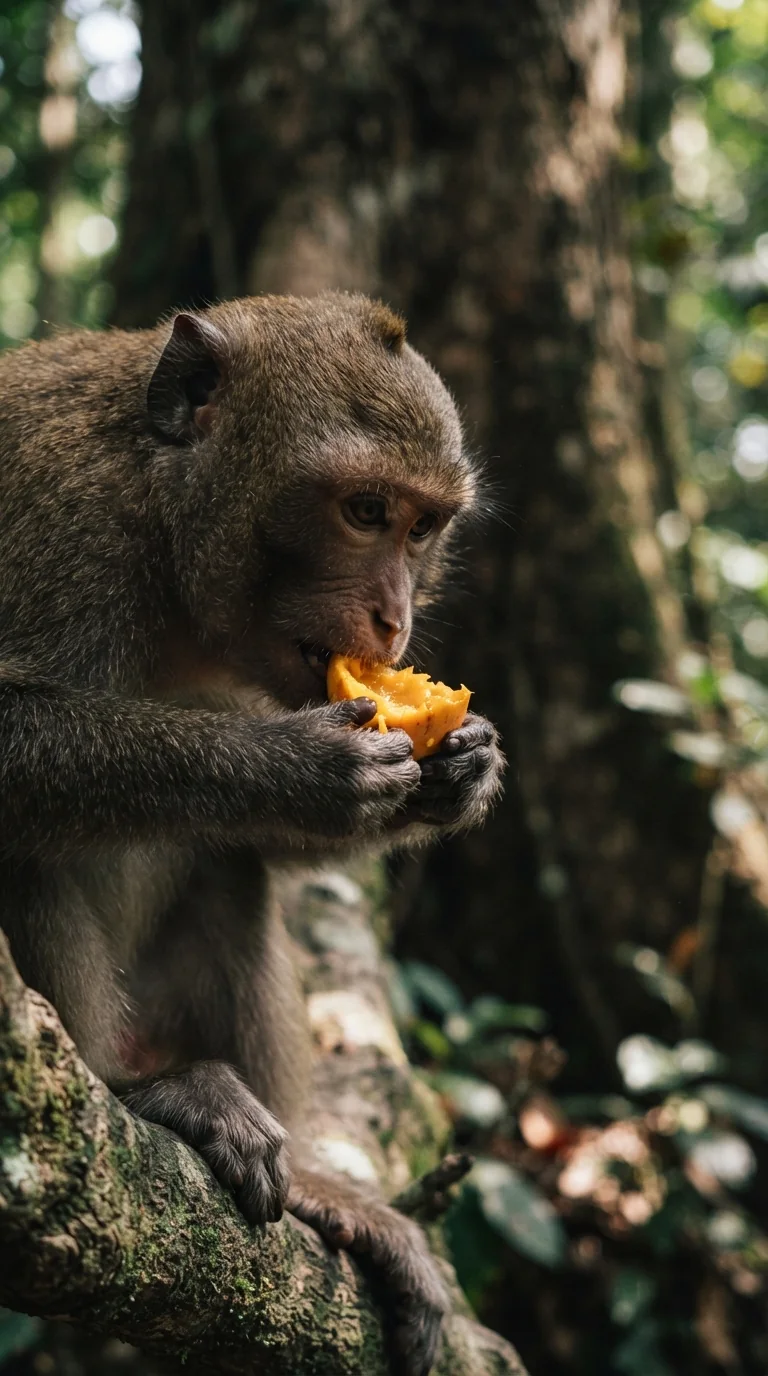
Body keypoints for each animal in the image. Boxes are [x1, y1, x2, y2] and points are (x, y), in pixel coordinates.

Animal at [0, 292, 504, 1376]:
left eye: (423, 527)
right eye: (365, 512)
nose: (395, 620)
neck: (159, 522)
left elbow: (255, 842)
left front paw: (459, 770)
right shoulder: (55, 521)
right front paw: (297, 769)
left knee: (227, 870)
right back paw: (136, 1092)